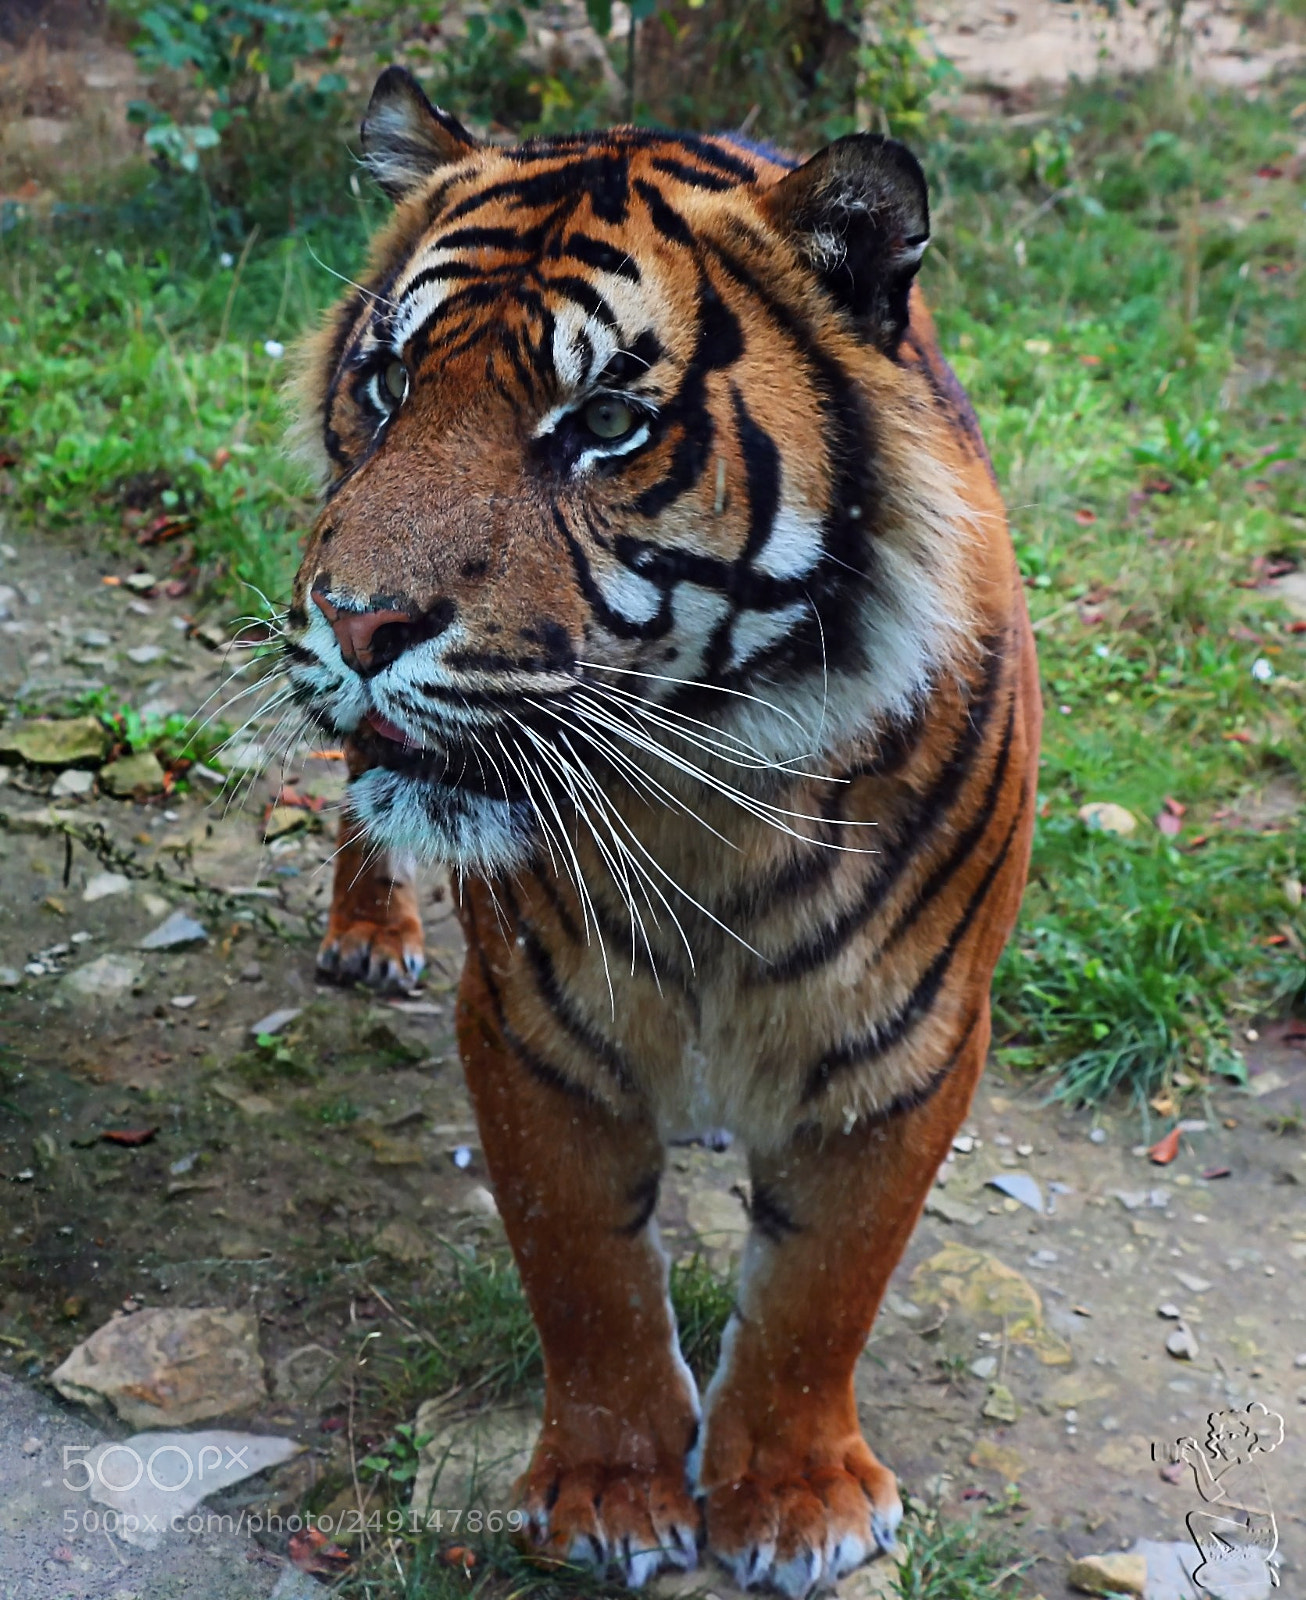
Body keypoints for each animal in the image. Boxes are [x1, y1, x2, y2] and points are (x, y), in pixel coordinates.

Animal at [287, 65, 1040, 1597]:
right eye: (387, 384)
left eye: (602, 426)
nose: (356, 622)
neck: (701, 796)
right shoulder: (532, 1020)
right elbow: (585, 1267)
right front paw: (610, 1491)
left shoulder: (908, 1038)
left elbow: (821, 1285)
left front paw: (796, 1502)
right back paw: (368, 927)